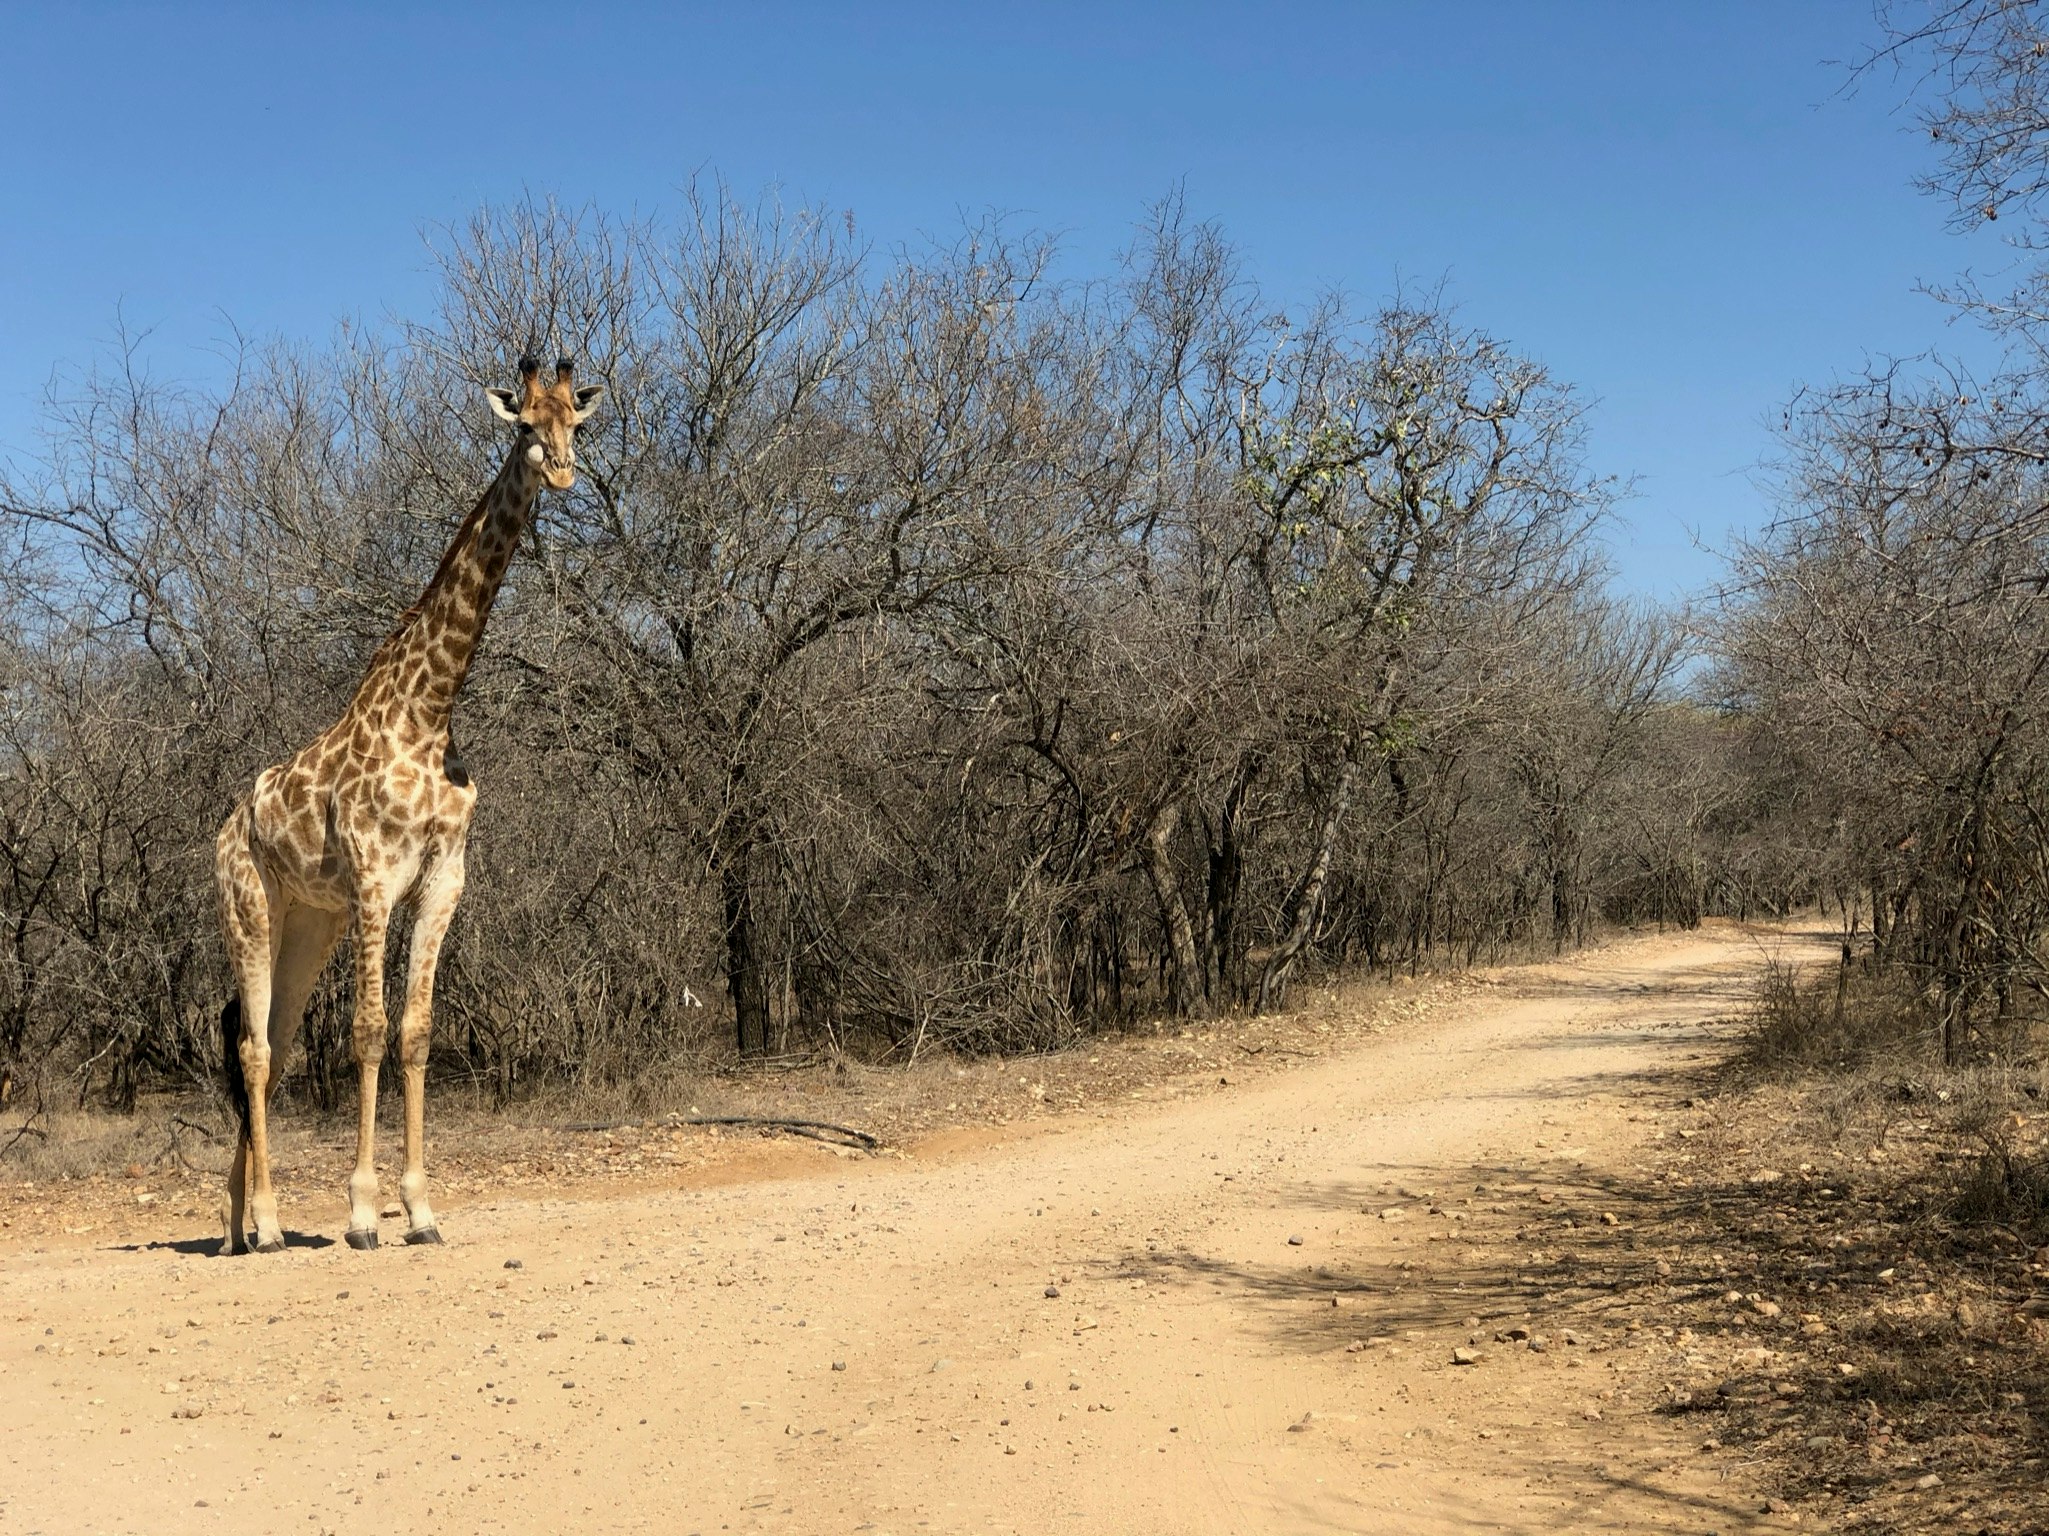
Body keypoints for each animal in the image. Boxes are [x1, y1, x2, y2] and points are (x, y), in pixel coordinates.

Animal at [214, 355, 603, 1255]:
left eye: (576, 418)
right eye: (523, 425)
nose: (563, 472)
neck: (427, 713)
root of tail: (223, 830)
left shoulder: (442, 881)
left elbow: (417, 1032)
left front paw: (421, 1209)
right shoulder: (372, 881)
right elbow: (365, 1031)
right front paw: (361, 1213)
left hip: (307, 924)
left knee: (275, 1042)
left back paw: (236, 1225)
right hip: (249, 909)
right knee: (253, 1051)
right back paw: (271, 1225)